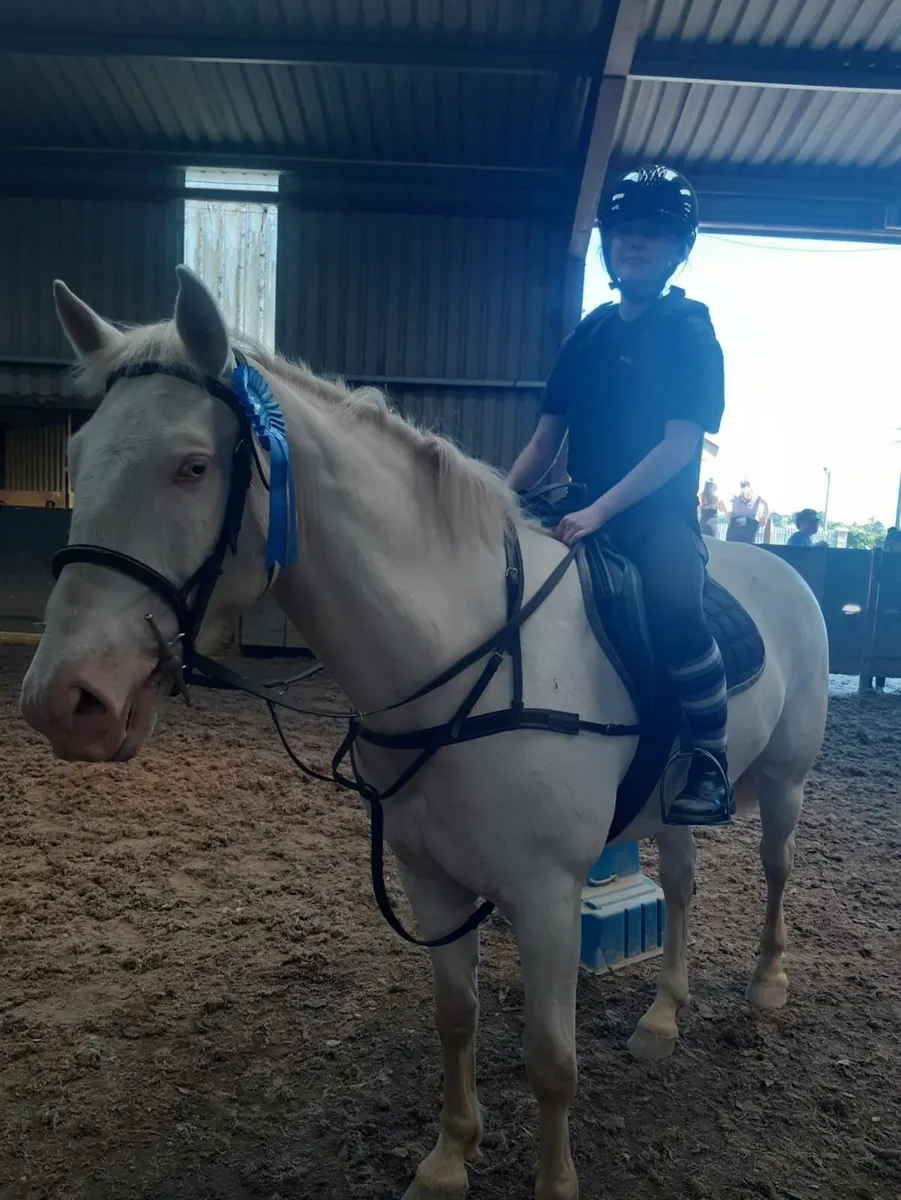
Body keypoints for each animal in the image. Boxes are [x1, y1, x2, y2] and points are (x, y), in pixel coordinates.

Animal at [20, 267, 829, 1200]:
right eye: (77, 458)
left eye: (191, 467)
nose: (63, 699)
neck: (471, 655)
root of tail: (780, 569)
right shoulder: (429, 877)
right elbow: (454, 1017)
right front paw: (447, 1160)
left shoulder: (548, 895)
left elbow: (550, 1061)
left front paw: (552, 1183)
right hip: (670, 809)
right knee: (687, 887)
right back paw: (662, 1018)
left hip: (783, 783)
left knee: (775, 869)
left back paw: (766, 985)